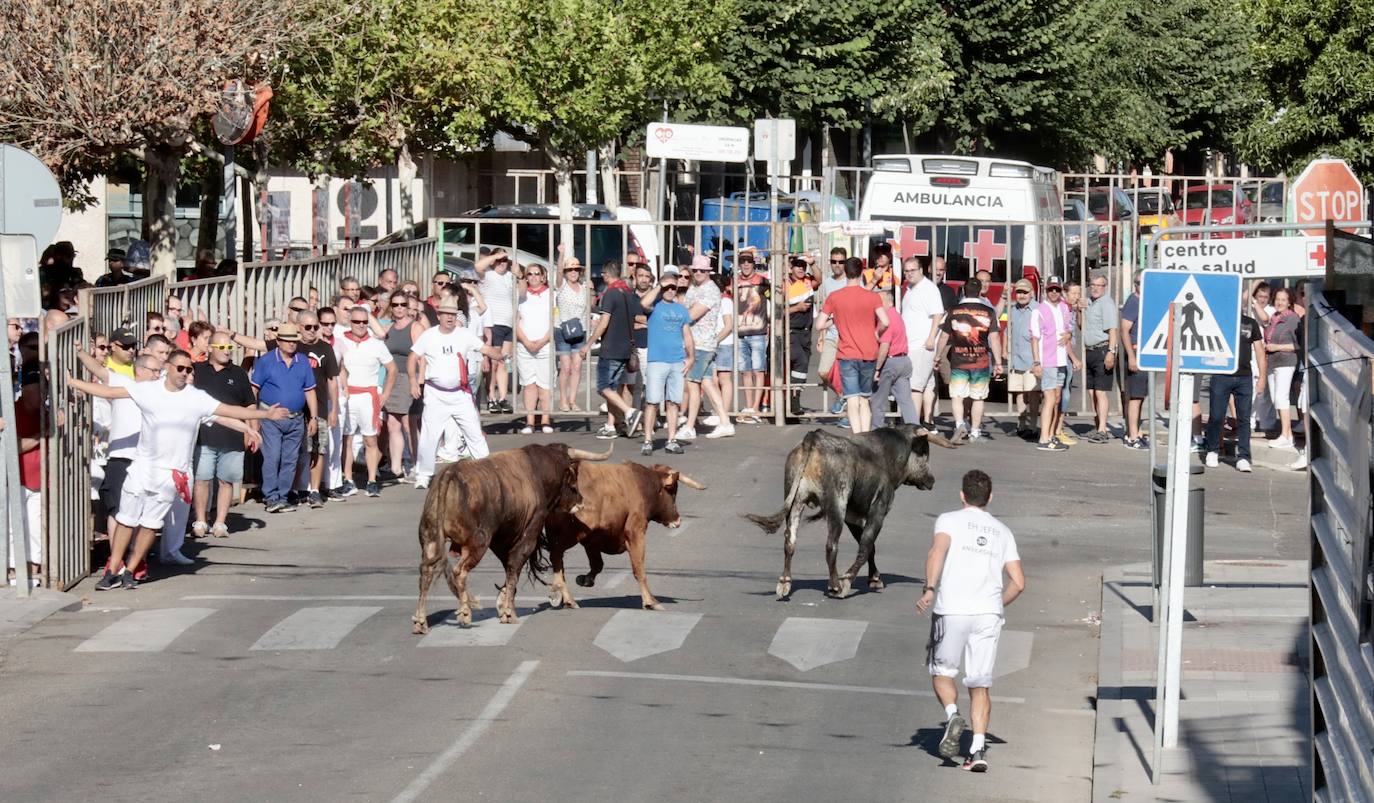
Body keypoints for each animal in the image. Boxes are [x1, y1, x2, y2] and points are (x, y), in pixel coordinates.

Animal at [409, 440, 610, 632]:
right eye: (572, 478)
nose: (581, 502)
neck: (538, 473)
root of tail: (450, 473)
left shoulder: (501, 539)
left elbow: (509, 567)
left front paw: (504, 603)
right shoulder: (529, 533)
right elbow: (514, 565)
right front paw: (508, 613)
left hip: (430, 539)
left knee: (426, 573)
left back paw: (420, 621)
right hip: (477, 543)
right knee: (459, 572)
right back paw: (465, 612)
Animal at [541, 462, 703, 610]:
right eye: (672, 492)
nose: (678, 520)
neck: (642, 484)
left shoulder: (593, 539)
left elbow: (597, 564)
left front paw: (585, 579)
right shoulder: (635, 532)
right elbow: (638, 568)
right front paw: (650, 601)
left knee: (558, 560)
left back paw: (562, 596)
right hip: (569, 536)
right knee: (556, 555)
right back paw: (563, 596)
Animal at [741, 423, 956, 599]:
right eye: (924, 452)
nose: (931, 480)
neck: (887, 455)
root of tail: (814, 438)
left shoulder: (852, 517)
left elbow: (869, 545)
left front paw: (874, 578)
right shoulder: (879, 509)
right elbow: (867, 544)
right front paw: (848, 580)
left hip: (796, 500)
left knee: (790, 542)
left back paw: (785, 582)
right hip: (837, 502)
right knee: (831, 545)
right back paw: (835, 585)